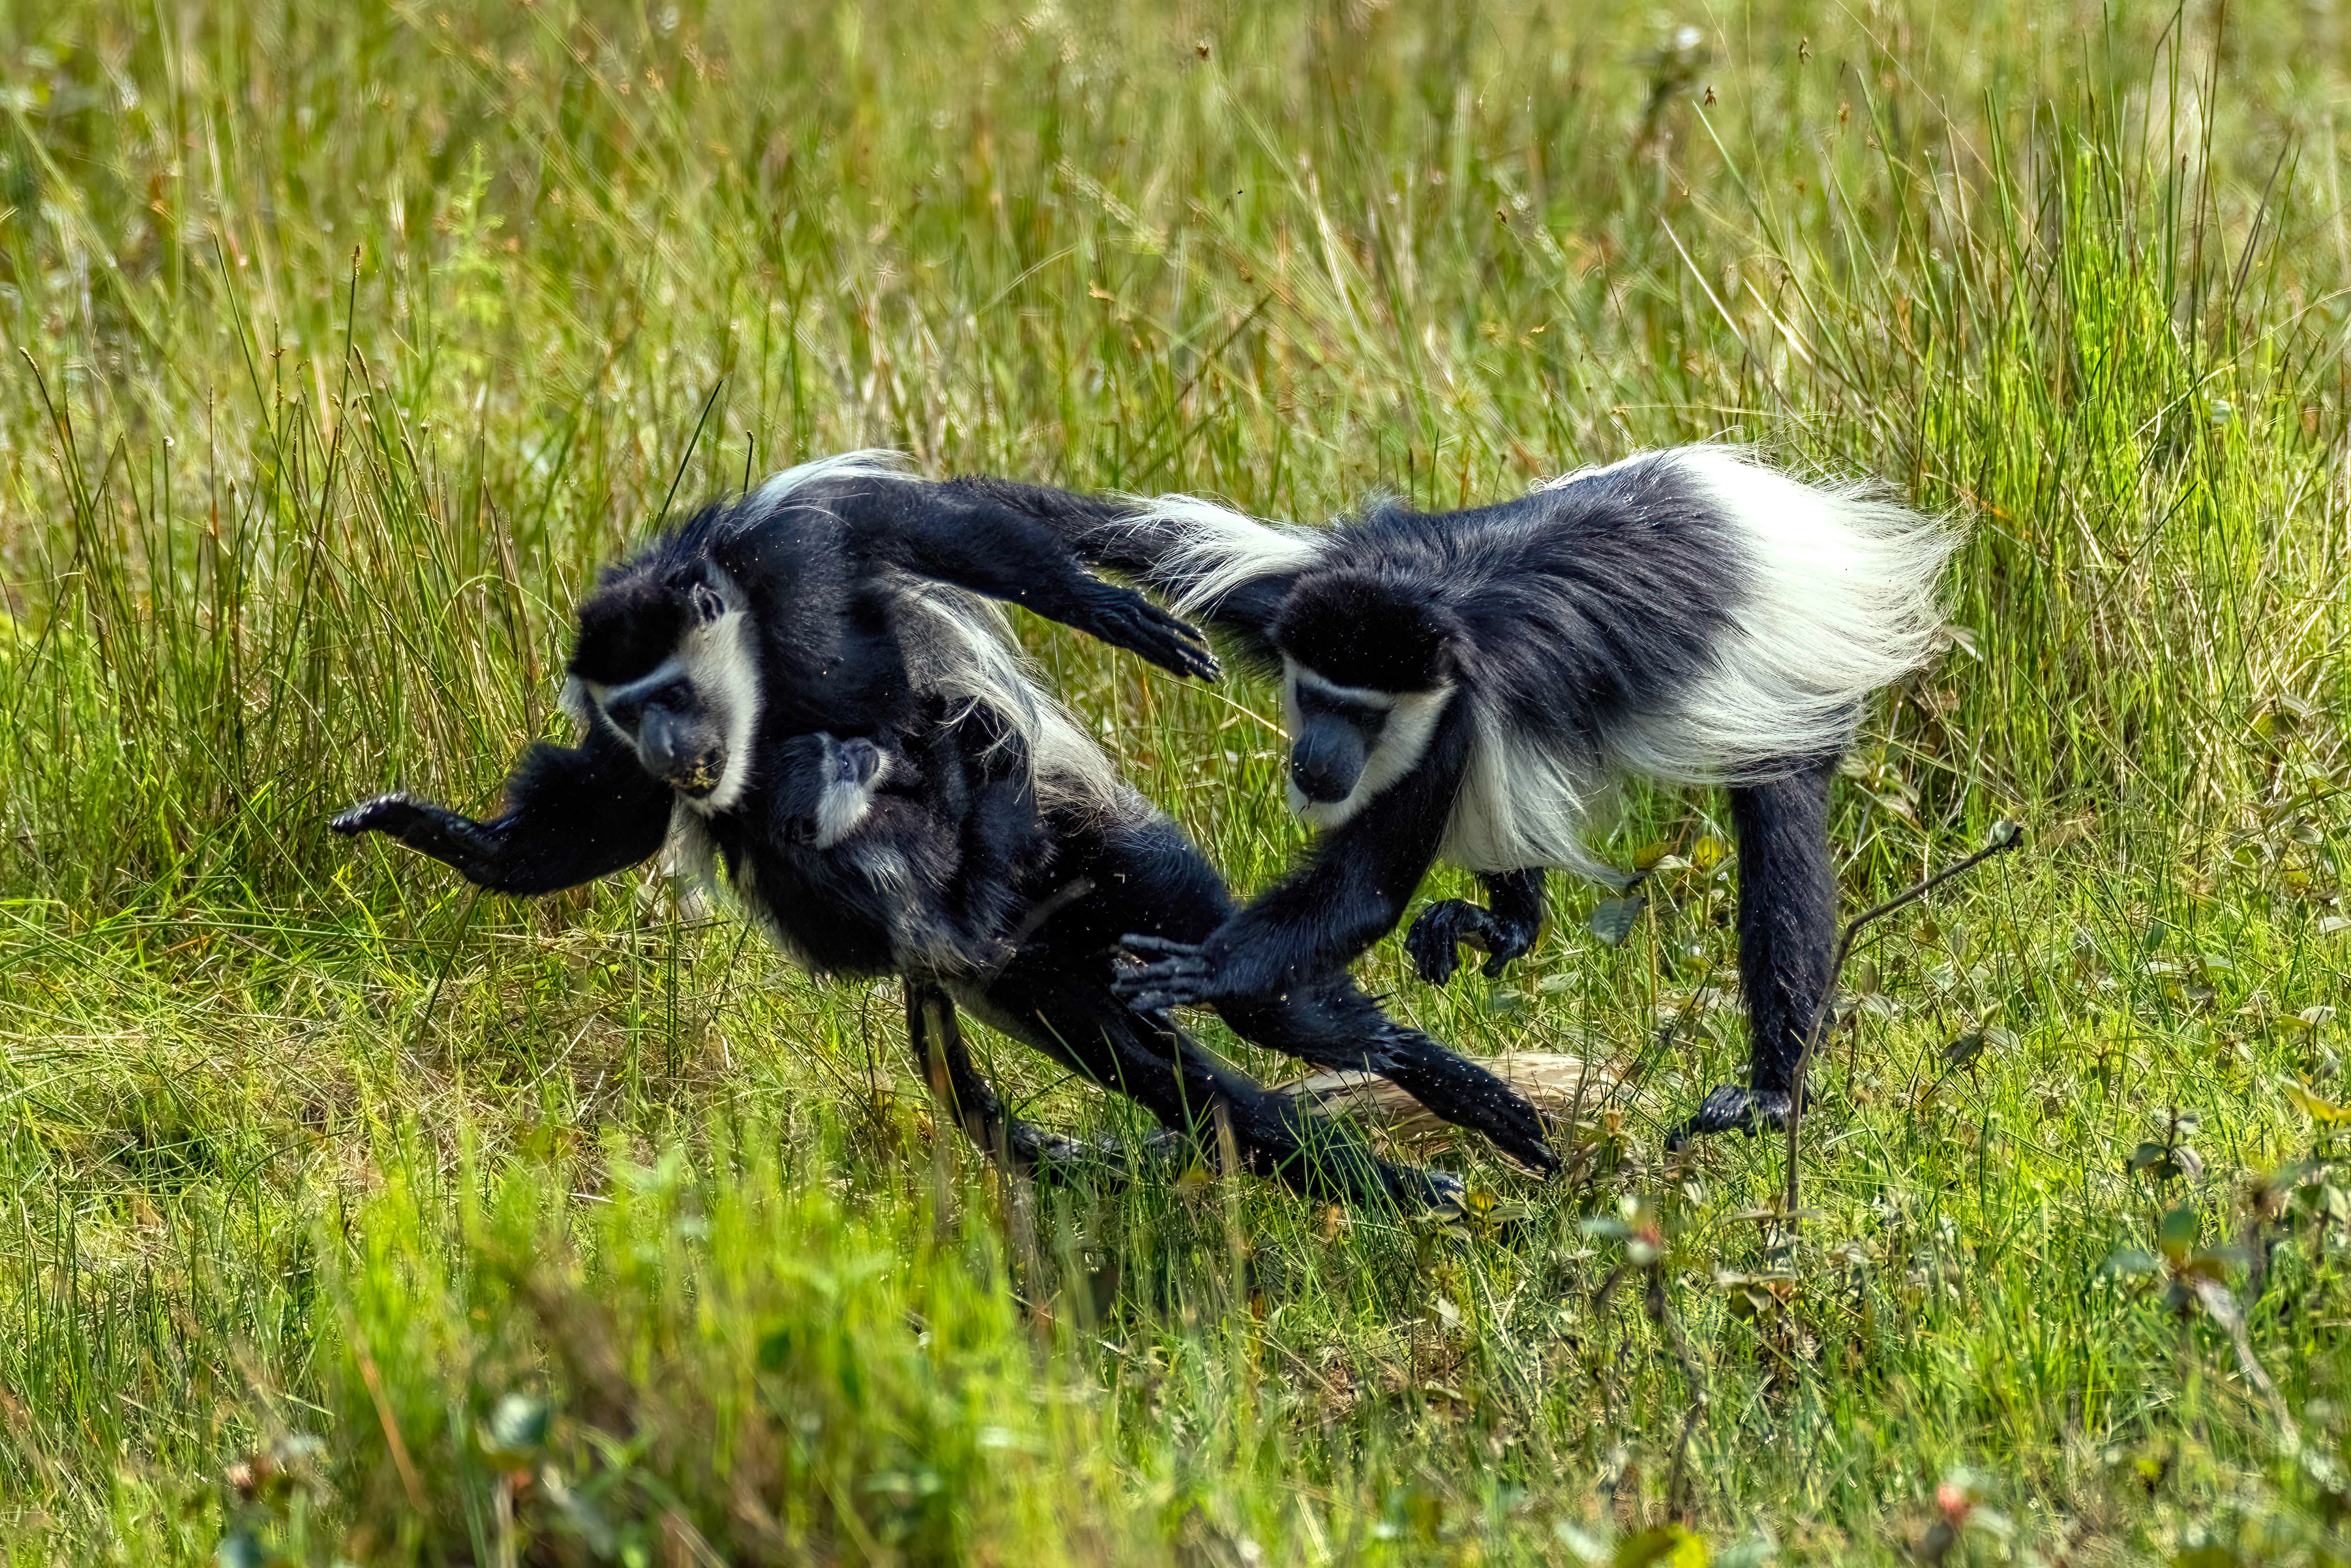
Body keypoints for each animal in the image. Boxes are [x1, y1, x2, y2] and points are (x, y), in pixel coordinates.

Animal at [335, 453, 1559, 1203]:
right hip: (1037, 982)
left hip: (1108, 869)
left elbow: (922, 529)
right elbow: (600, 824)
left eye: (672, 690)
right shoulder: (630, 749)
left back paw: (1448, 1093)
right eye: (636, 710)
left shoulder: (790, 547)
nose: (675, 743)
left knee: (1260, 993)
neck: (757, 682)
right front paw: (434, 832)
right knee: (1182, 1085)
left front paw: (1106, 609)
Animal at [1029, 446, 1956, 1141]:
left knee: (1781, 836)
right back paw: (1505, 925)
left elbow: (1363, 893)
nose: (1315, 761)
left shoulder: (1453, 723)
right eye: (1315, 698)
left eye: (1360, 715)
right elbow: (1117, 535)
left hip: (1791, 666)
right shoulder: (1289, 603)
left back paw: (1770, 1088)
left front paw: (1207, 966)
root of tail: (1774, 509)